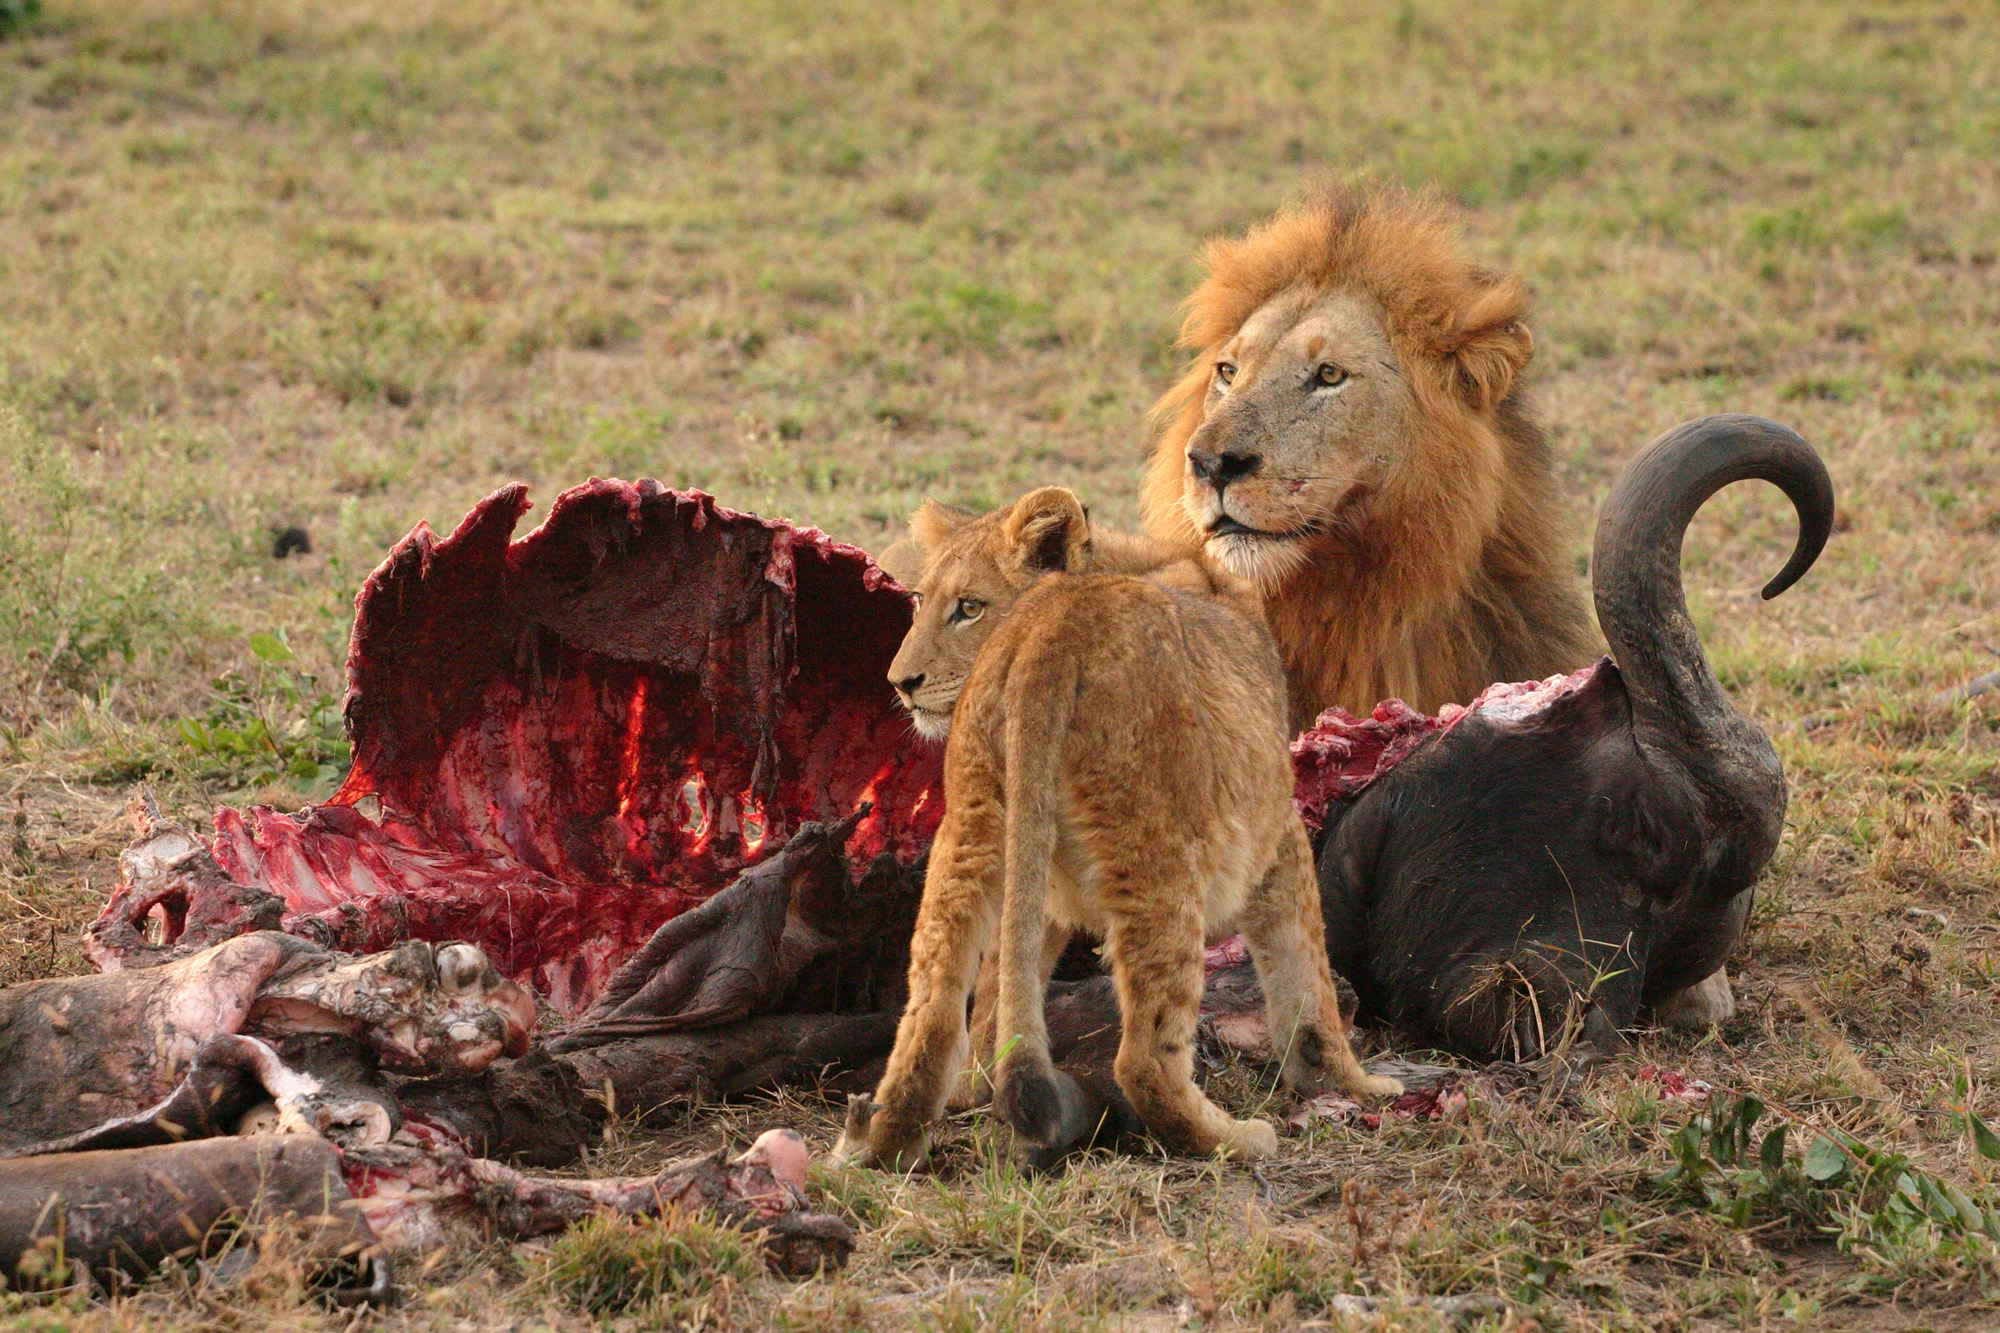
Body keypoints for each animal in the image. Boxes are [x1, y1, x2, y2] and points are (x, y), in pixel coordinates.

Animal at [836, 486, 1400, 1160]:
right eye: (923, 601)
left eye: (966, 607)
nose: (900, 683)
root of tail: (1053, 627)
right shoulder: (1277, 831)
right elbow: (1307, 977)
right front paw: (1349, 1083)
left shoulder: (1041, 879)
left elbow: (1003, 989)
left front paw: (977, 1086)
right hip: (1160, 852)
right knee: (1145, 1059)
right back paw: (1233, 1138)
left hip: (971, 830)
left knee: (932, 1012)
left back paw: (888, 1141)